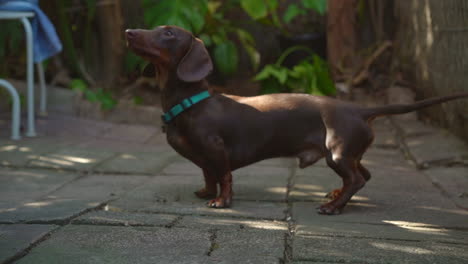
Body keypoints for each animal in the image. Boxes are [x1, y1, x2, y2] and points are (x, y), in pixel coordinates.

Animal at [124, 25, 468, 214]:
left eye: (169, 33)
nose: (128, 32)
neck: (189, 101)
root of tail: (359, 110)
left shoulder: (216, 149)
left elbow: (224, 176)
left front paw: (221, 201)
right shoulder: (205, 158)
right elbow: (208, 175)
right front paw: (207, 193)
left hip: (338, 152)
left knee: (356, 179)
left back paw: (332, 207)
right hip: (349, 153)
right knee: (362, 175)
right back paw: (337, 196)